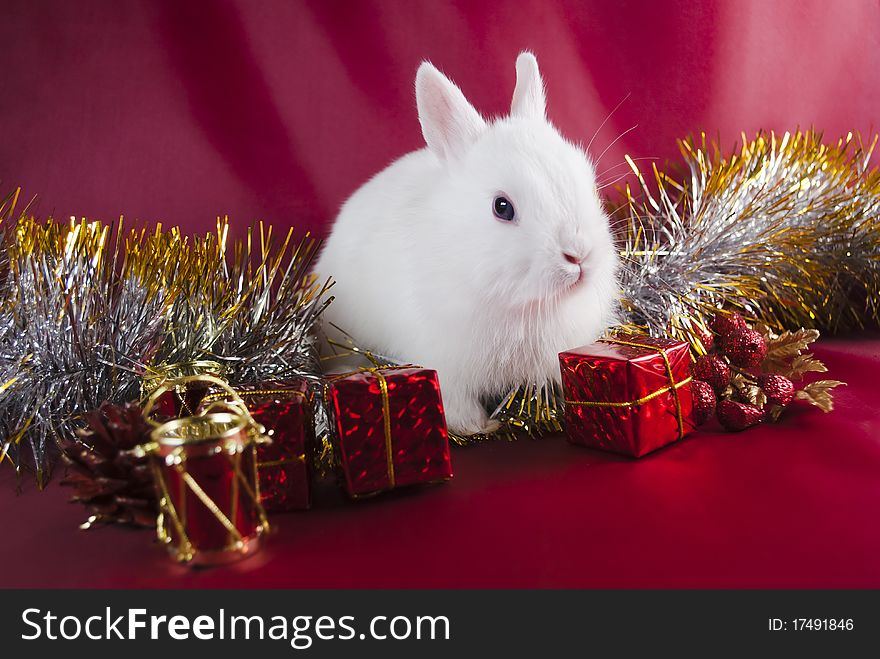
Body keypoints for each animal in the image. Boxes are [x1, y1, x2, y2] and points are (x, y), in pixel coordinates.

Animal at [316, 50, 620, 434]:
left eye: (587, 181)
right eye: (502, 207)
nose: (579, 255)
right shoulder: (445, 365)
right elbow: (456, 404)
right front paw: (480, 427)